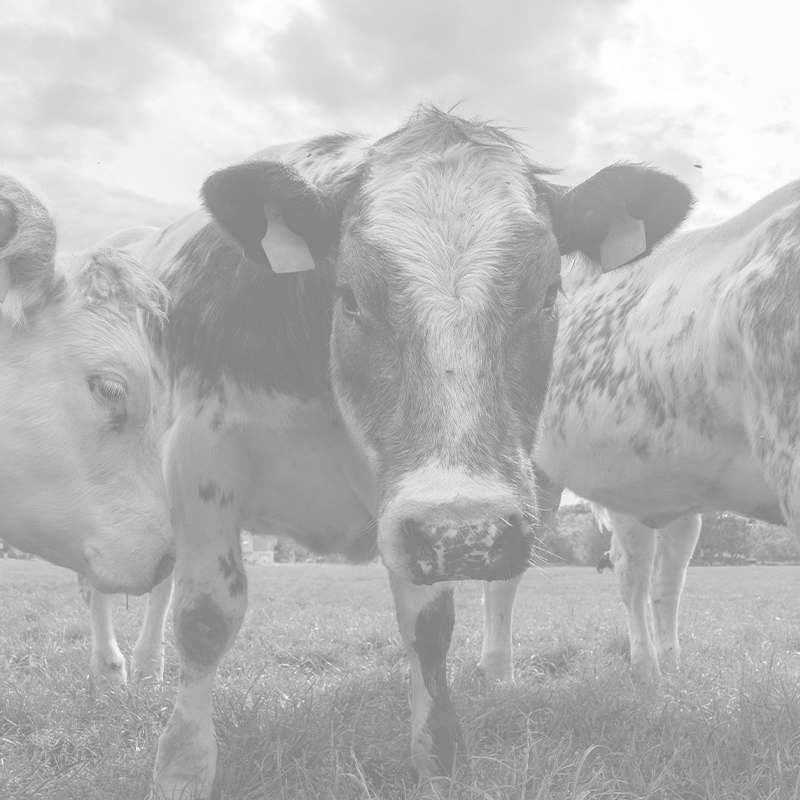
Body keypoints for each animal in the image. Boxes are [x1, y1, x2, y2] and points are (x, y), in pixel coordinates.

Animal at [100, 105, 692, 797]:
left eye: (549, 294)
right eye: (352, 296)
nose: (468, 533)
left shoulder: (414, 514)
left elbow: (429, 631)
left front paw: (437, 757)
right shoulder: (203, 454)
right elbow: (204, 617)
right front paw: (182, 768)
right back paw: (123, 670)